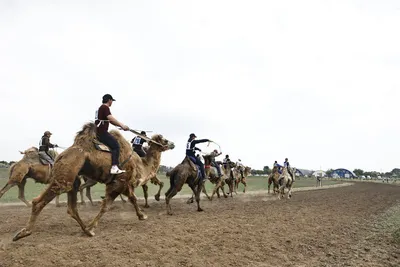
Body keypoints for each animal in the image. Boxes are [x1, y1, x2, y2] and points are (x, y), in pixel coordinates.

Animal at [12, 122, 173, 242]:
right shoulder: (120, 182)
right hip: (65, 178)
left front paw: (141, 215)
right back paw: (23, 232)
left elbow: (130, 199)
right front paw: (142, 215)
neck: (141, 165)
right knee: (38, 202)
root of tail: (61, 156)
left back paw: (86, 231)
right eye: (164, 139)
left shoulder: (120, 184)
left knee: (72, 207)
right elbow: (108, 206)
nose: (172, 144)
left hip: (73, 179)